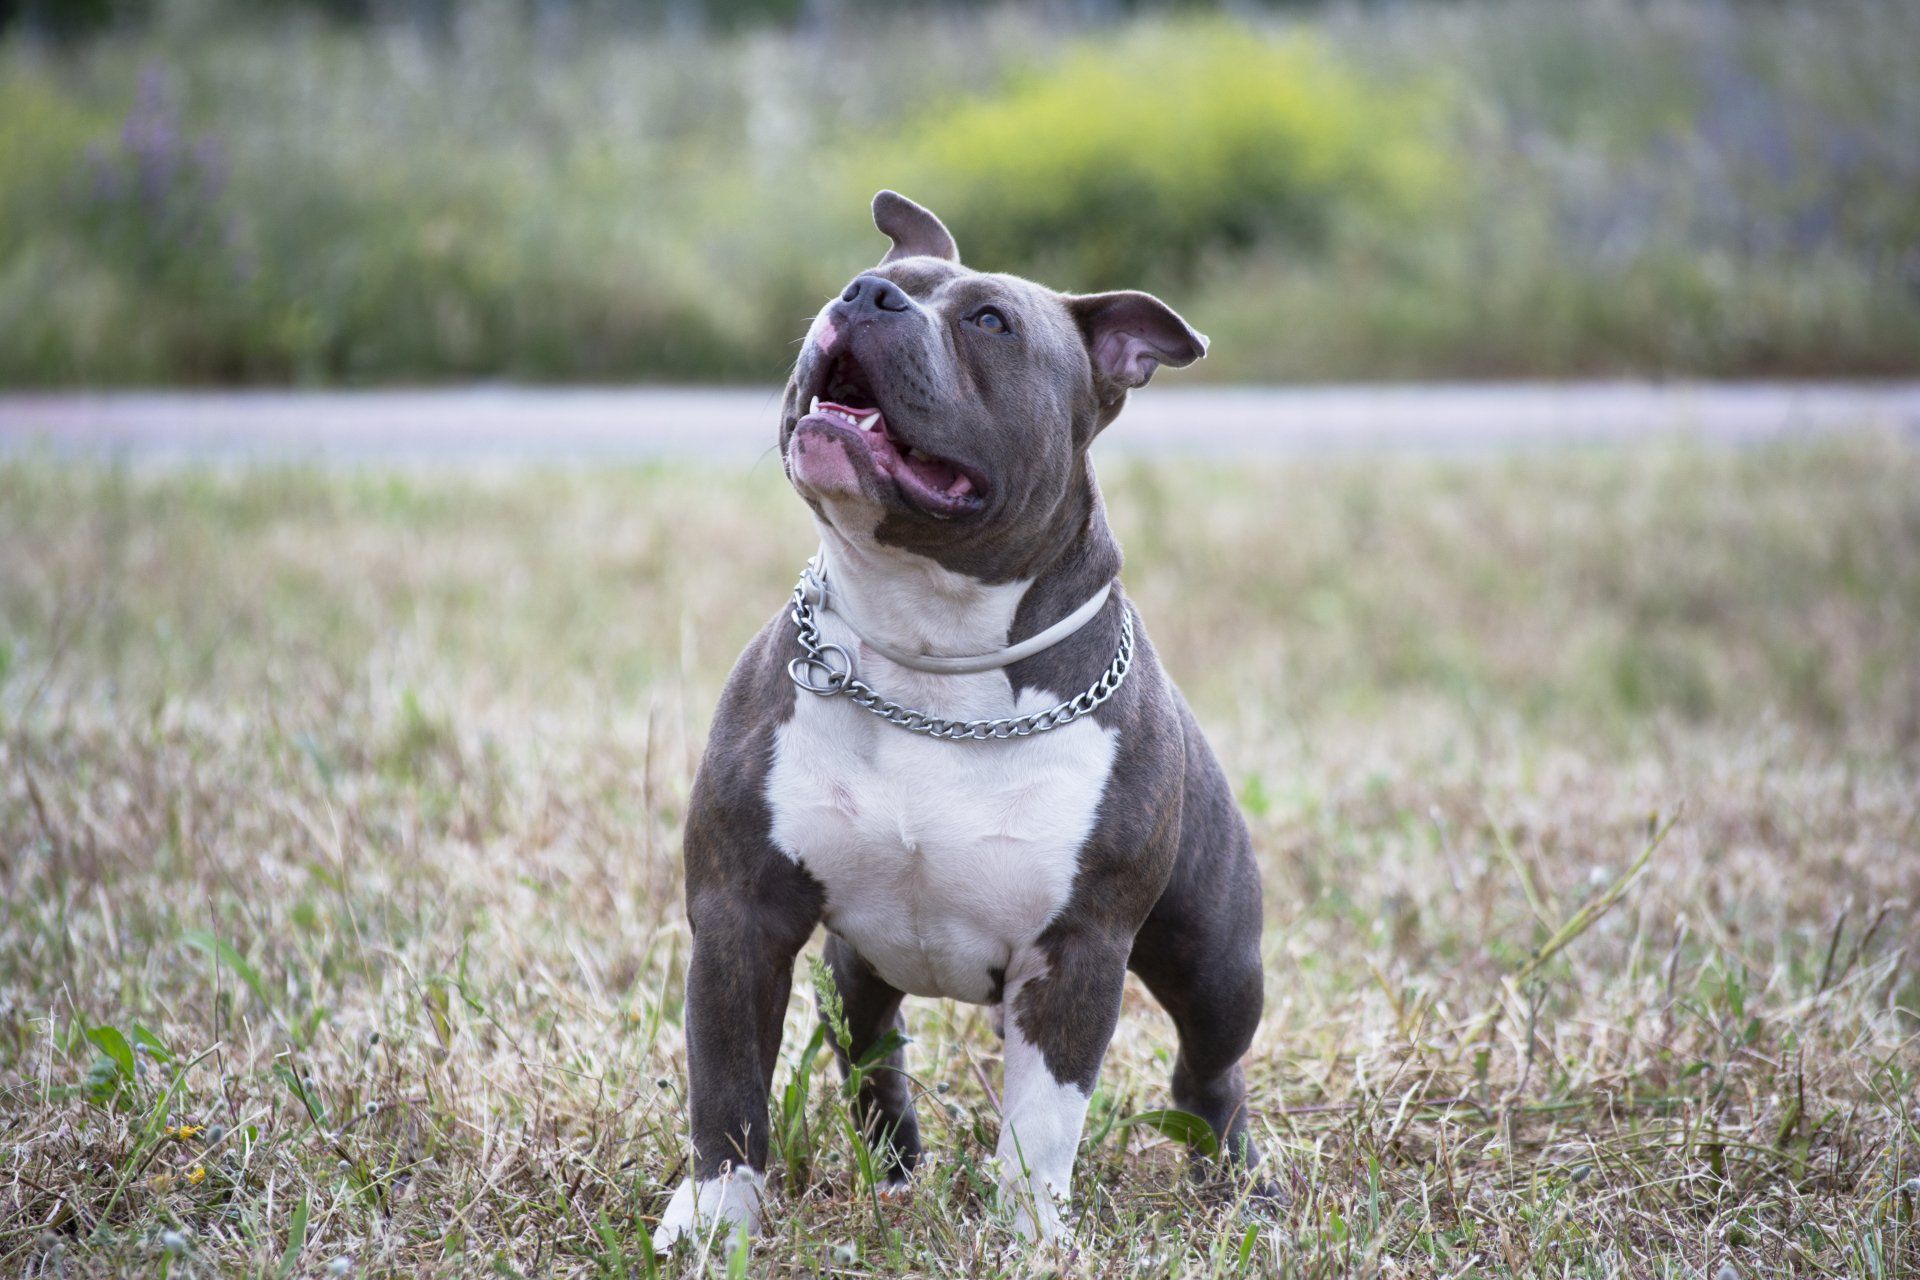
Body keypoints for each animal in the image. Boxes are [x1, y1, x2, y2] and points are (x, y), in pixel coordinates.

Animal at [652, 192, 1267, 1251]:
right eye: (862, 276)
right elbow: (726, 1091)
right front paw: (713, 1224)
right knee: (874, 1052)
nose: (868, 293)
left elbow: (1042, 1121)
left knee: (1209, 1069)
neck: (931, 655)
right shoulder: (740, 915)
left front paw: (1036, 1239)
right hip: (858, 963)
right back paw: (896, 1169)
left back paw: (1242, 1184)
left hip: (1217, 959)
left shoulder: (1077, 952)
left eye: (989, 321)